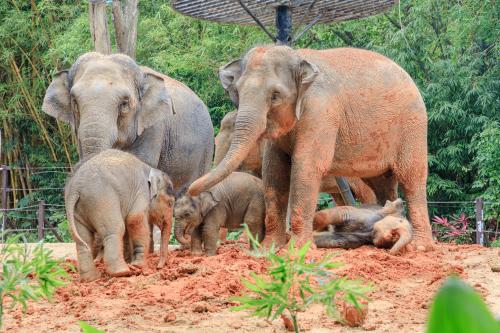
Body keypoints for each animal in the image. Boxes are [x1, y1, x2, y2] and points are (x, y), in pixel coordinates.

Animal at [64, 149, 175, 282]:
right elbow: (134, 220)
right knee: (115, 229)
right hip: (103, 200)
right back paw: (122, 272)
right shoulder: (141, 193)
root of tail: (75, 188)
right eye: (170, 203)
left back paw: (91, 279)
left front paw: (133, 263)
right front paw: (138, 266)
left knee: (84, 239)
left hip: (78, 209)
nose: (159, 267)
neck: (149, 168)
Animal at [188, 45, 434, 250]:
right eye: (237, 92)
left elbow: (305, 166)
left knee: (411, 176)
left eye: (275, 95)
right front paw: (270, 248)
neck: (298, 57)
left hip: (413, 125)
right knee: (382, 182)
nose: (190, 188)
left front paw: (298, 249)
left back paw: (421, 246)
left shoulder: (321, 111)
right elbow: (275, 171)